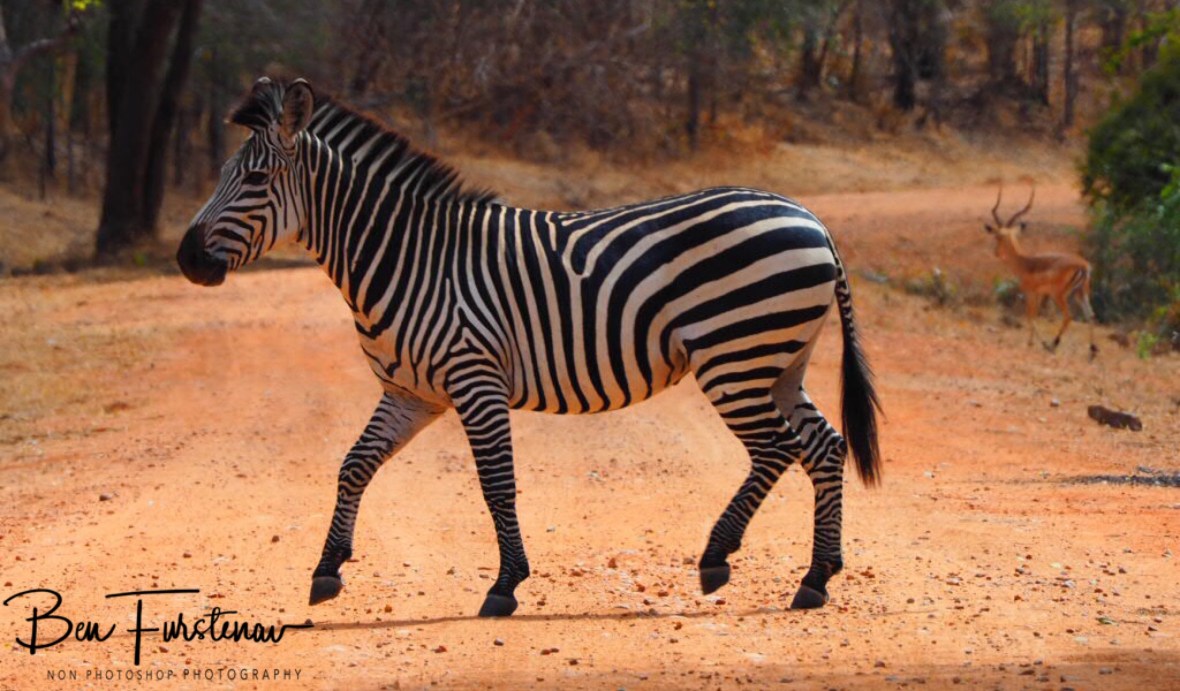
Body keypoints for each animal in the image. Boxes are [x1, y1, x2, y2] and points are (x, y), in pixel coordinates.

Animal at [177, 77, 882, 617]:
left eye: (256, 178)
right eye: (223, 175)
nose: (186, 261)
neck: (407, 258)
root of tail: (812, 219)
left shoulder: (475, 380)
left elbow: (497, 485)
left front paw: (506, 585)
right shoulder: (410, 393)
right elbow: (354, 465)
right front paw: (327, 570)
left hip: (734, 356)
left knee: (777, 448)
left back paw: (717, 559)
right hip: (778, 363)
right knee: (824, 445)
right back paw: (816, 577)